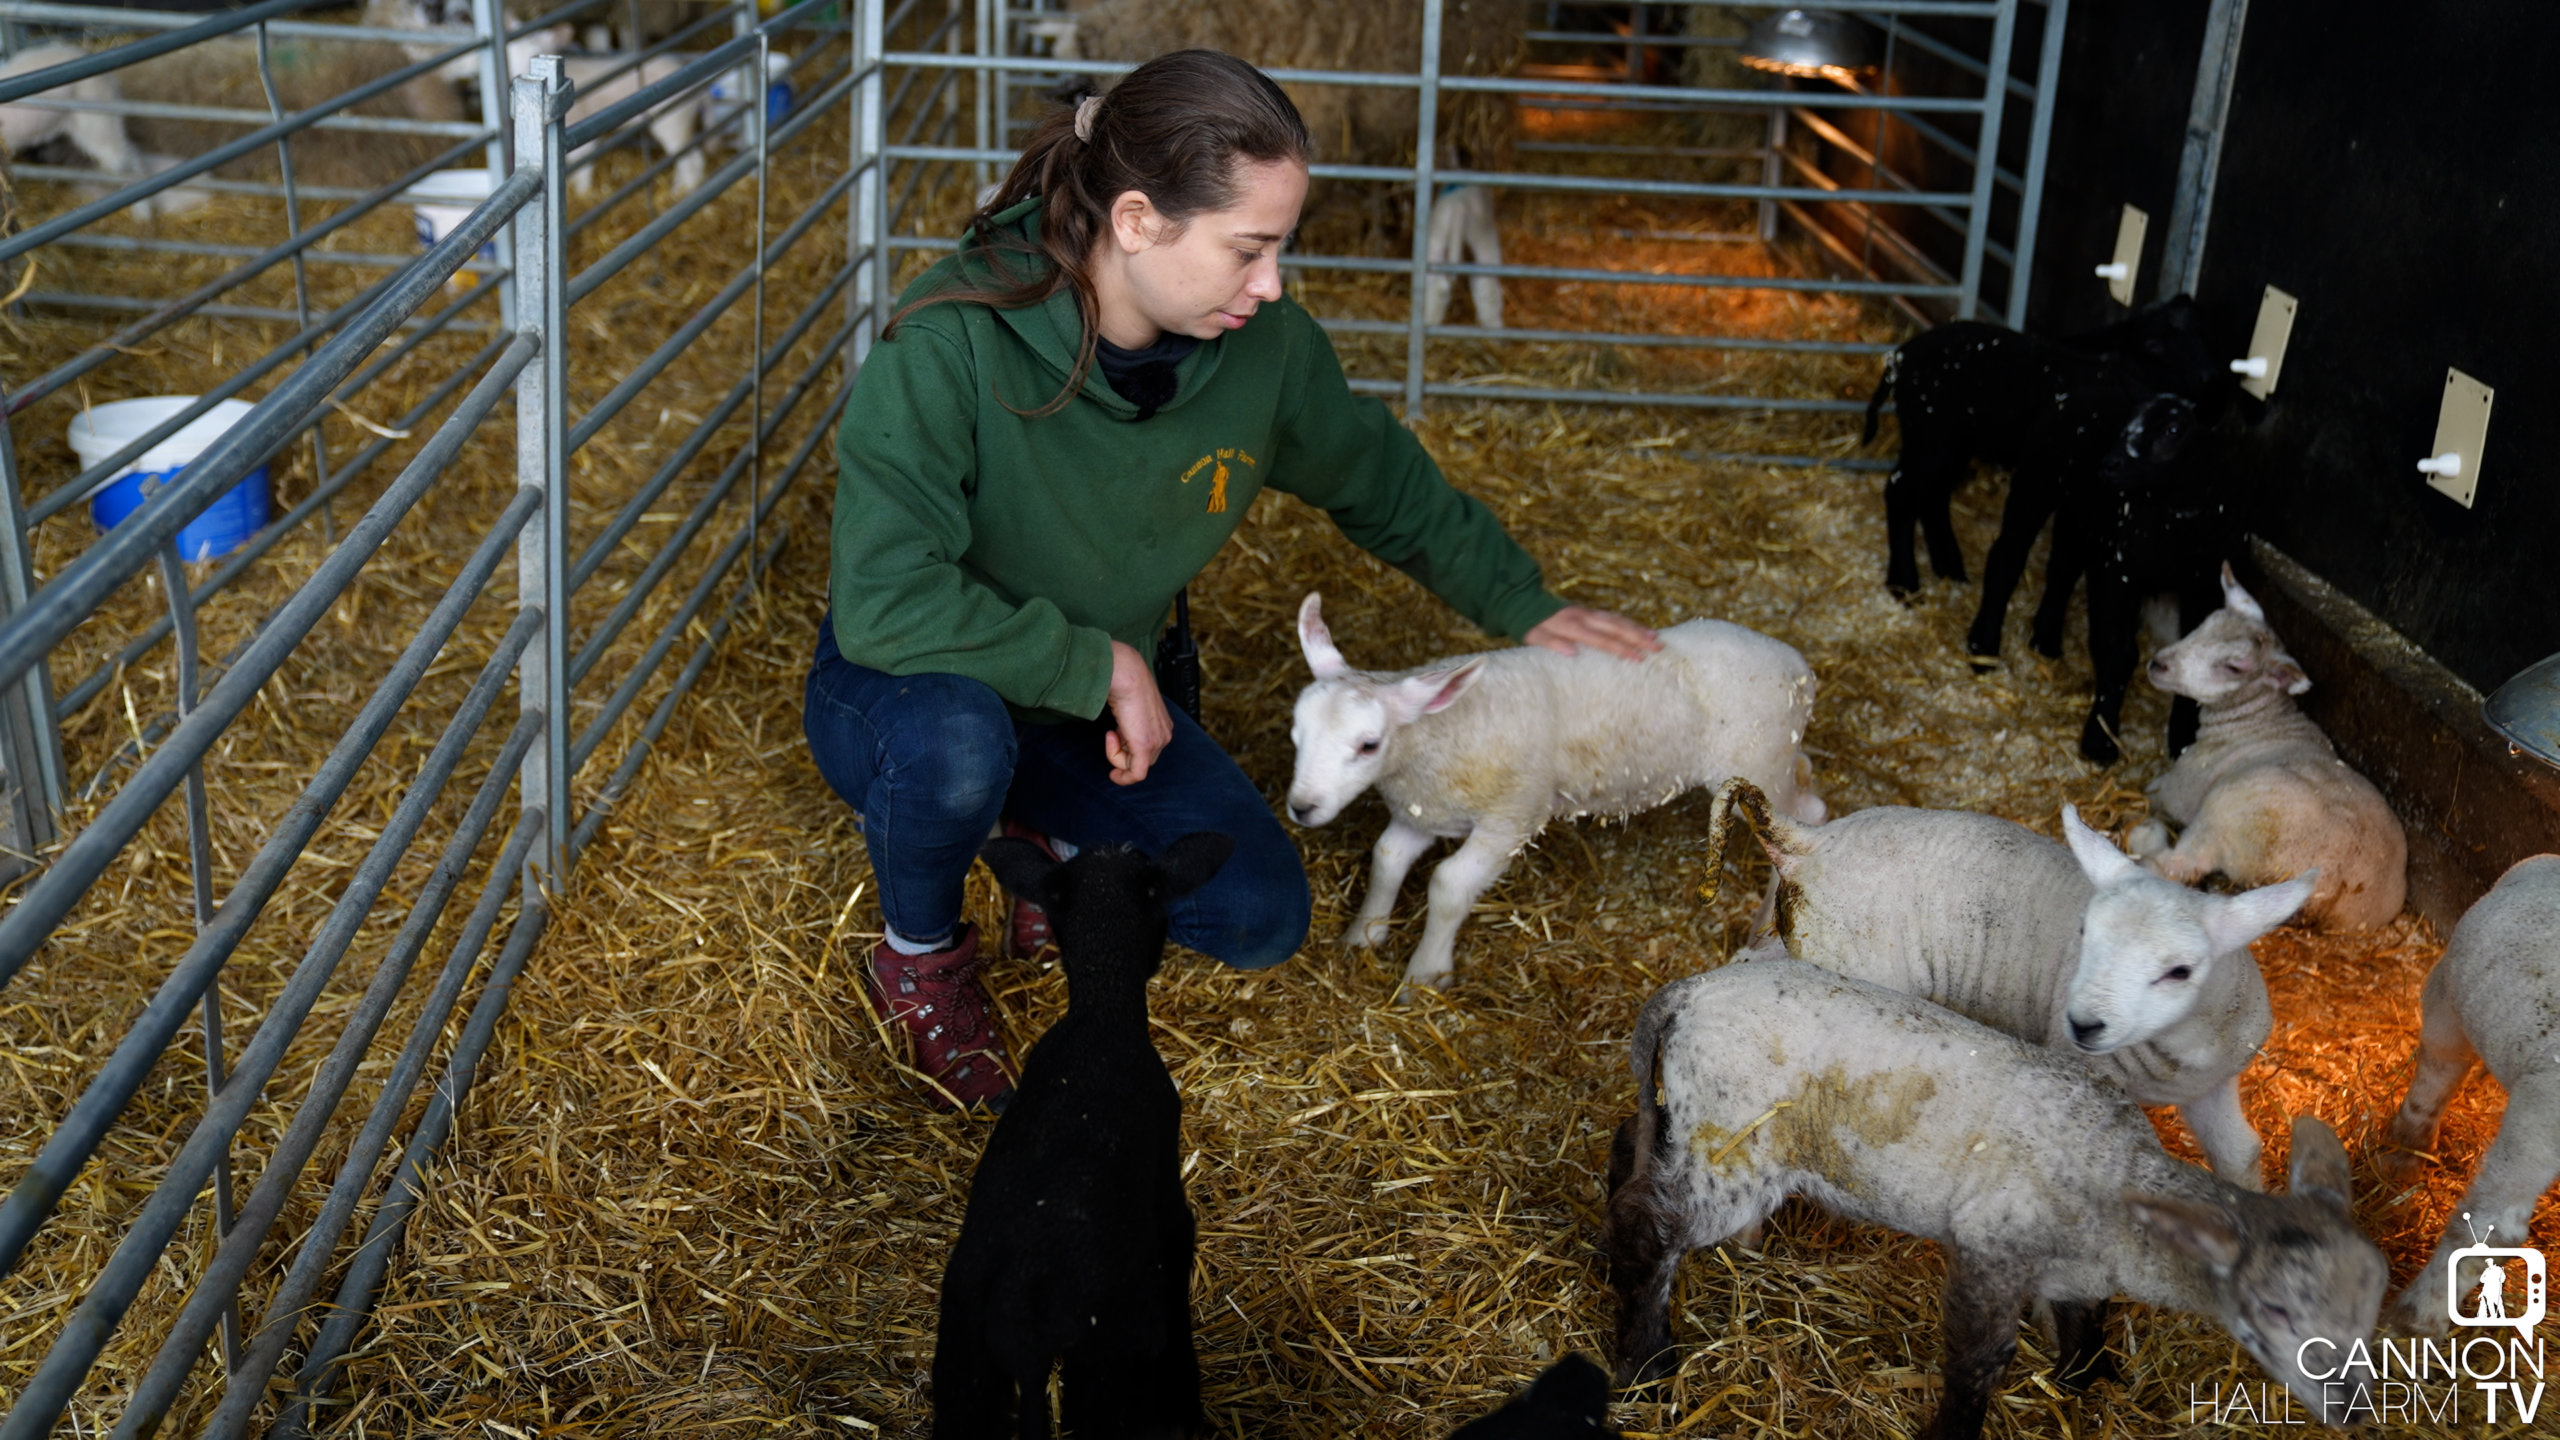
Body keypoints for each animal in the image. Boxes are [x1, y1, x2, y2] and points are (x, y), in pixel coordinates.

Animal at [1607, 953, 2385, 1434]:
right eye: (2275, 1307)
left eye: (2372, 1308)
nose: (2354, 1408)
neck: (2118, 1177)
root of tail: (1684, 994)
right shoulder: (1992, 1246)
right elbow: (1982, 1358)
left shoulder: (2076, 1271)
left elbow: (2084, 1324)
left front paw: (2088, 1383)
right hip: (1733, 1141)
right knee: (1652, 1229)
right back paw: (1647, 1365)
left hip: (1681, 1117)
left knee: (1629, 1152)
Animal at [1699, 778, 2324, 1183]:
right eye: (2084, 932)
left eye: (2181, 971)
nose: (2084, 1023)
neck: (2174, 1053)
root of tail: (1809, 842)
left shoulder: (2211, 1083)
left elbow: (2241, 1154)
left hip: (1792, 940)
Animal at [2119, 566, 2396, 922]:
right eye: (2204, 624)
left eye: (2233, 667)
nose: (2158, 664)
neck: (2257, 720)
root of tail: (2320, 900)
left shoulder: (2181, 788)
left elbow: (2152, 791)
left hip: (2227, 811)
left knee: (2176, 866)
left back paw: (2145, 835)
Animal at [2375, 845, 2560, 1332]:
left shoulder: (2444, 997)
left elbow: (2435, 1075)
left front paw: (2405, 1154)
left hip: (2539, 1112)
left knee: (2494, 1222)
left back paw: (2412, 1318)